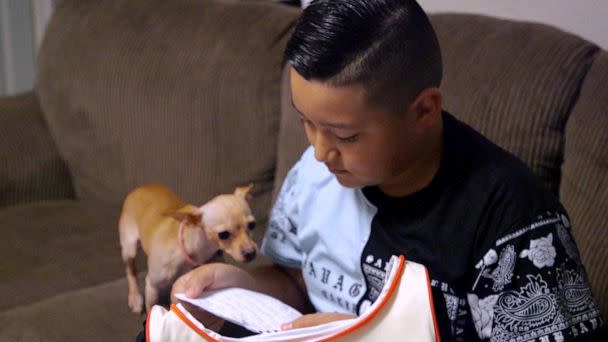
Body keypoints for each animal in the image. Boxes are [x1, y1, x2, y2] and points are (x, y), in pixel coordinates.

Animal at [118, 184, 256, 312]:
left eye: (252, 225)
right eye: (223, 235)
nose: (251, 253)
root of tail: (140, 188)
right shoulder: (152, 286)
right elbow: (151, 308)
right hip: (129, 248)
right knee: (130, 270)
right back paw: (134, 296)